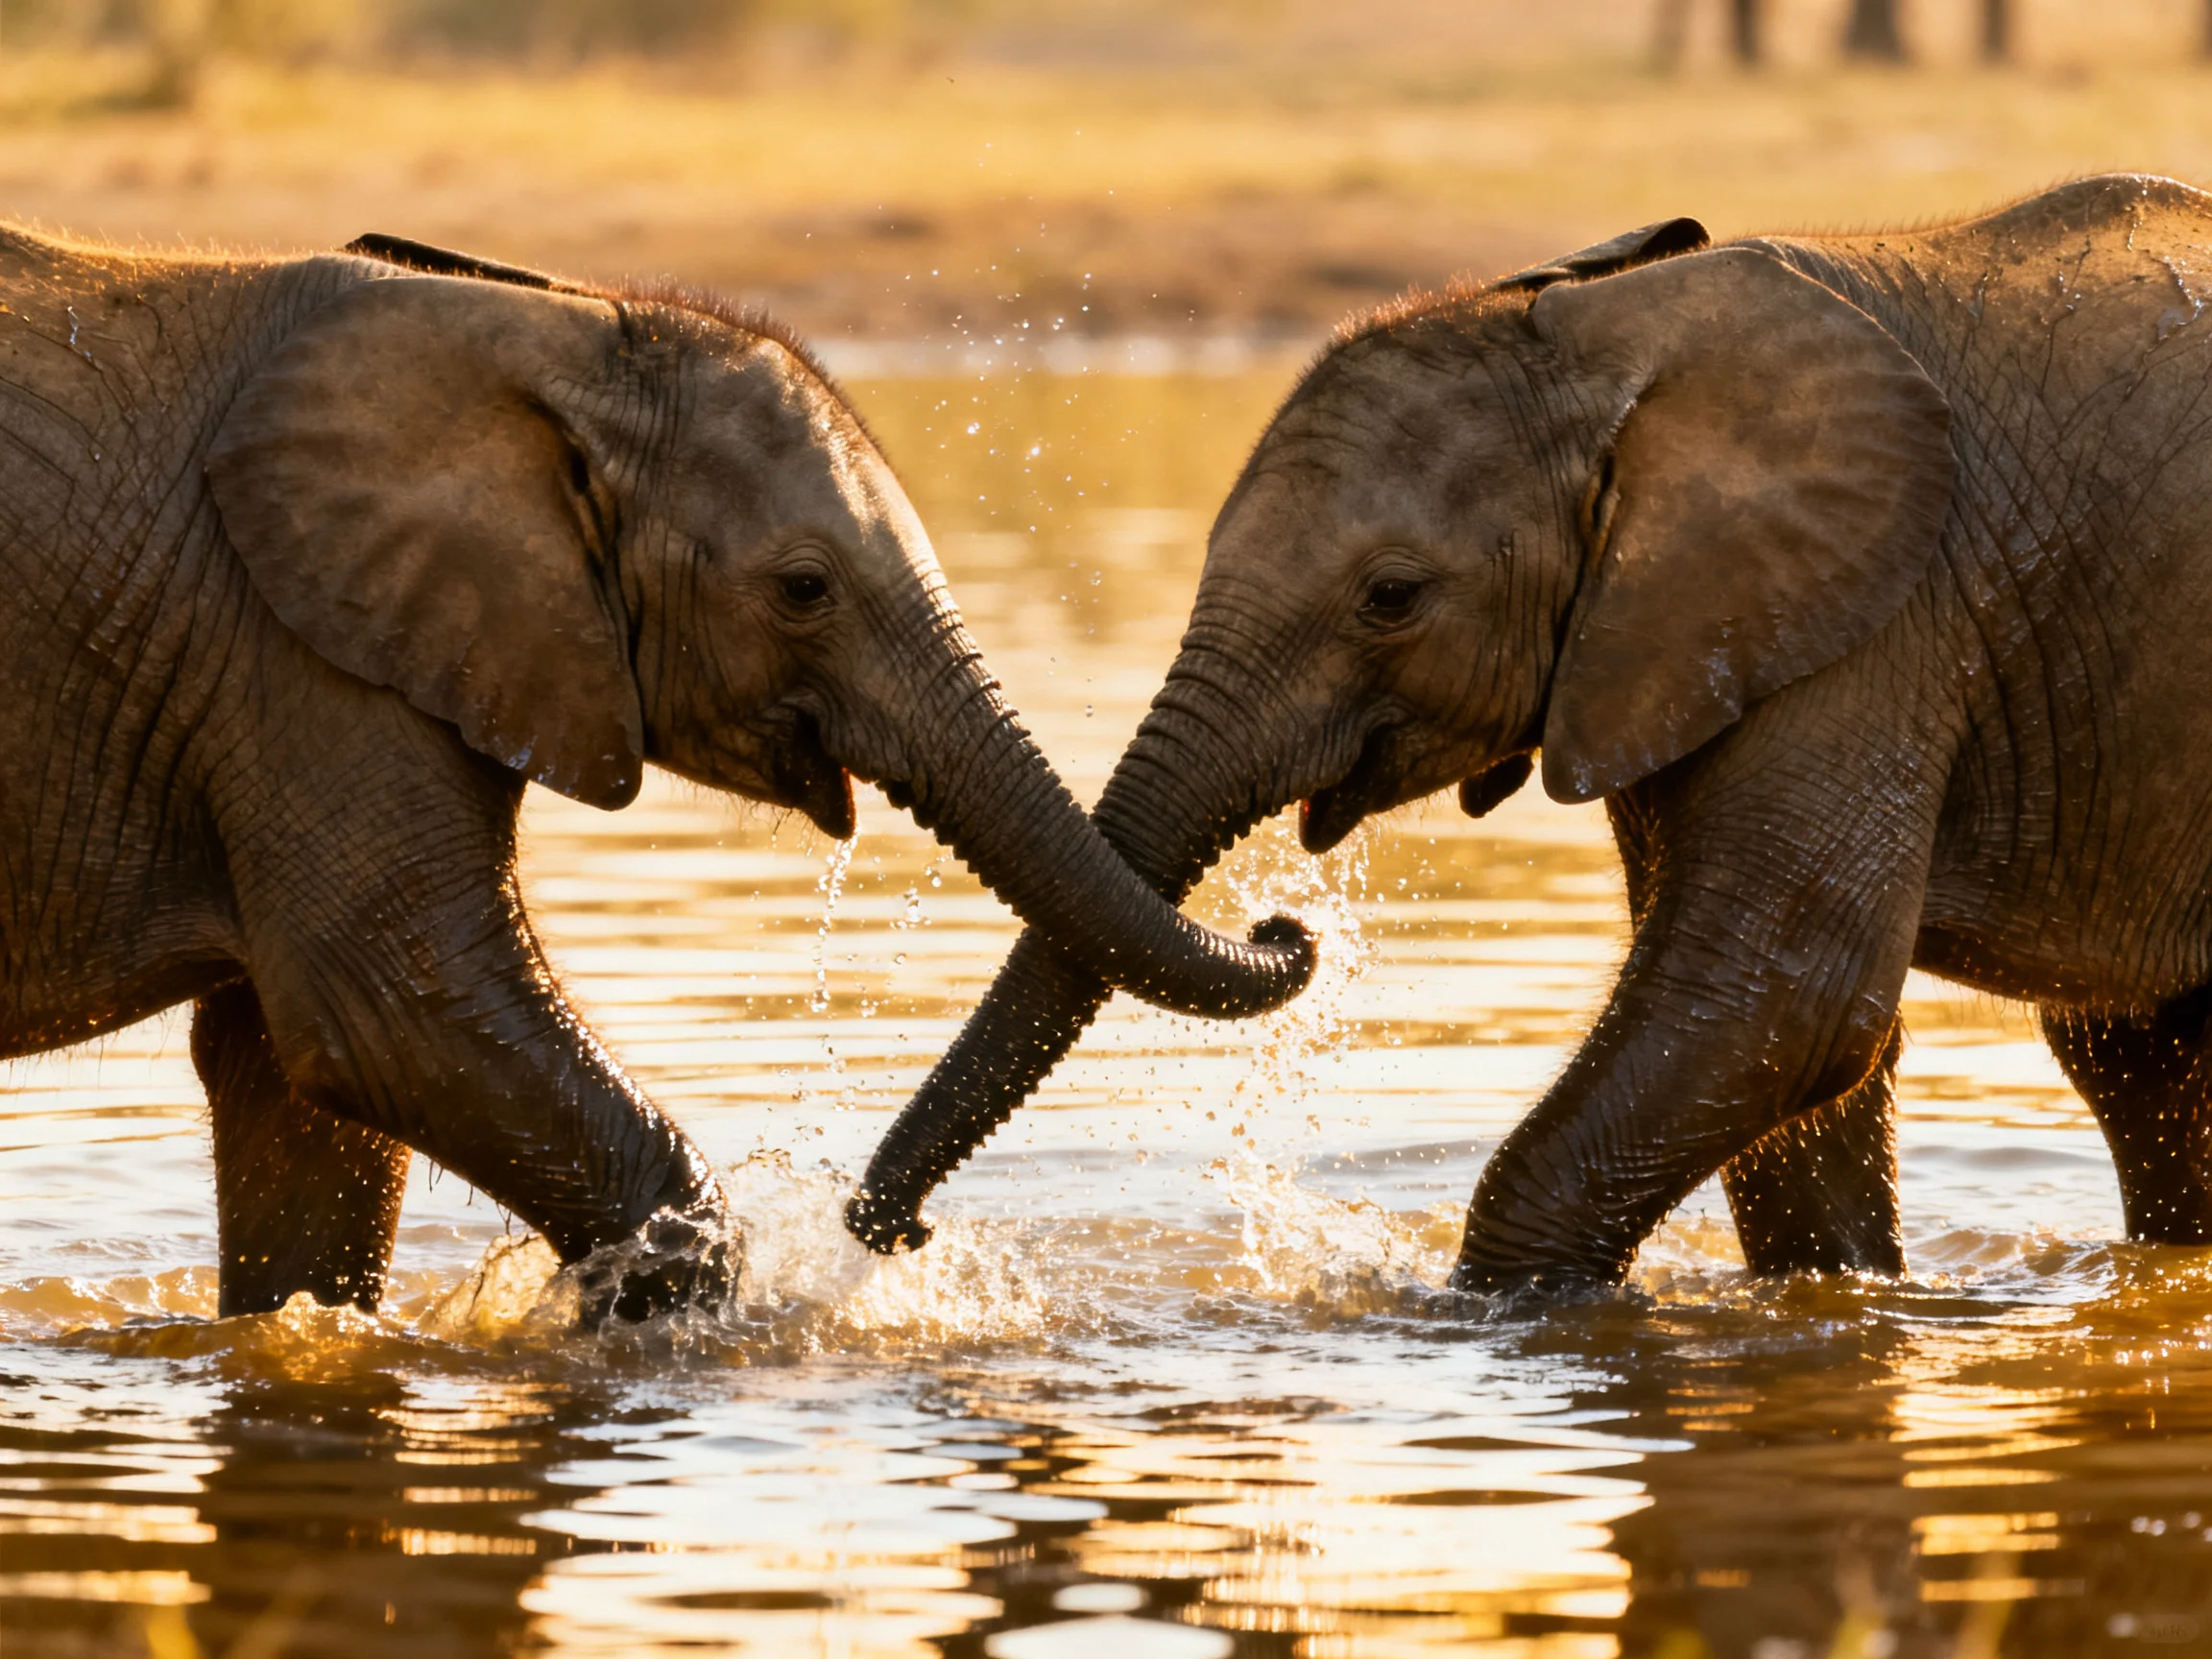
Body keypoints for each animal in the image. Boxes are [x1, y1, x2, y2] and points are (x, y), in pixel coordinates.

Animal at [0, 226, 1312, 1322]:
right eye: (804, 589)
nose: (1288, 926)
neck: (552, 332)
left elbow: (297, 1087)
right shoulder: (293, 652)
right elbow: (390, 1014)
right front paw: (678, 1320)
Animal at [848, 173, 2212, 1300]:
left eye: (1390, 596)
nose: (896, 1235)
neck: (1609, 338)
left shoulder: (1875, 623)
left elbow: (1780, 998)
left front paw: (1506, 1317)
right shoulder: (1686, 641)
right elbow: (1797, 1050)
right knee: (2139, 1060)